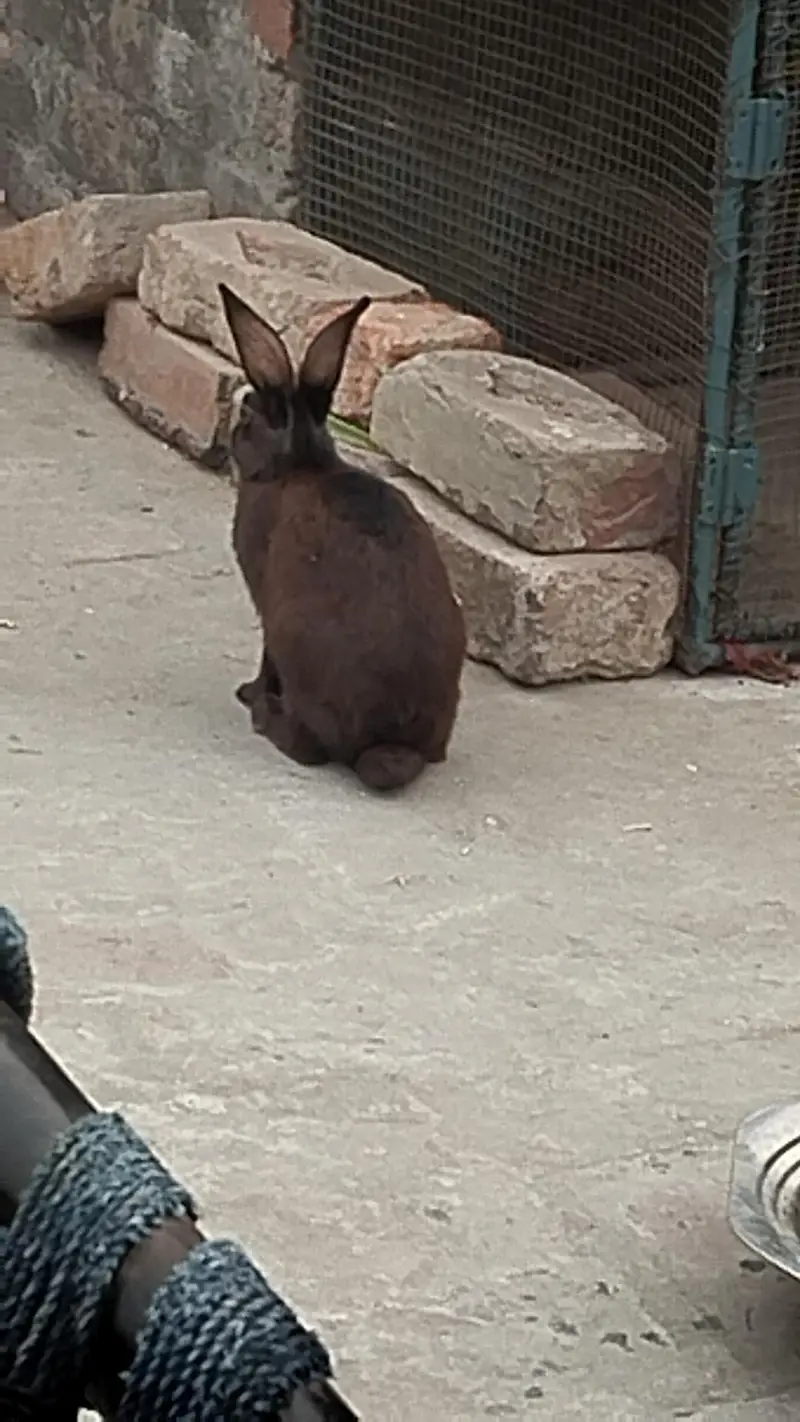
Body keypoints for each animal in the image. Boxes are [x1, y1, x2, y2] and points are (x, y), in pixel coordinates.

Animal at [219, 283, 466, 792]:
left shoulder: (266, 605)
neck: (298, 462)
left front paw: (248, 692)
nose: (233, 434)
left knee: (308, 748)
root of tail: (391, 746)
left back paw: (263, 716)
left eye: (248, 419)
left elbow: (265, 660)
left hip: (294, 641)